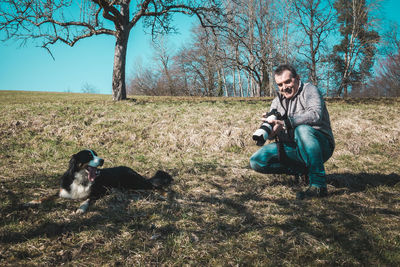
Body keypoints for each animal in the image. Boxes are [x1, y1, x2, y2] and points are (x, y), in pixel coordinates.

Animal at [27, 150, 173, 215]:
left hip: (135, 184)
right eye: (89, 156)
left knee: (155, 187)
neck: (82, 179)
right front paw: (32, 202)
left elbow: (87, 199)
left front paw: (81, 208)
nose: (102, 160)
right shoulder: (63, 190)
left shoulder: (96, 193)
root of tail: (131, 169)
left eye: (96, 154)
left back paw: (166, 196)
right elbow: (47, 196)